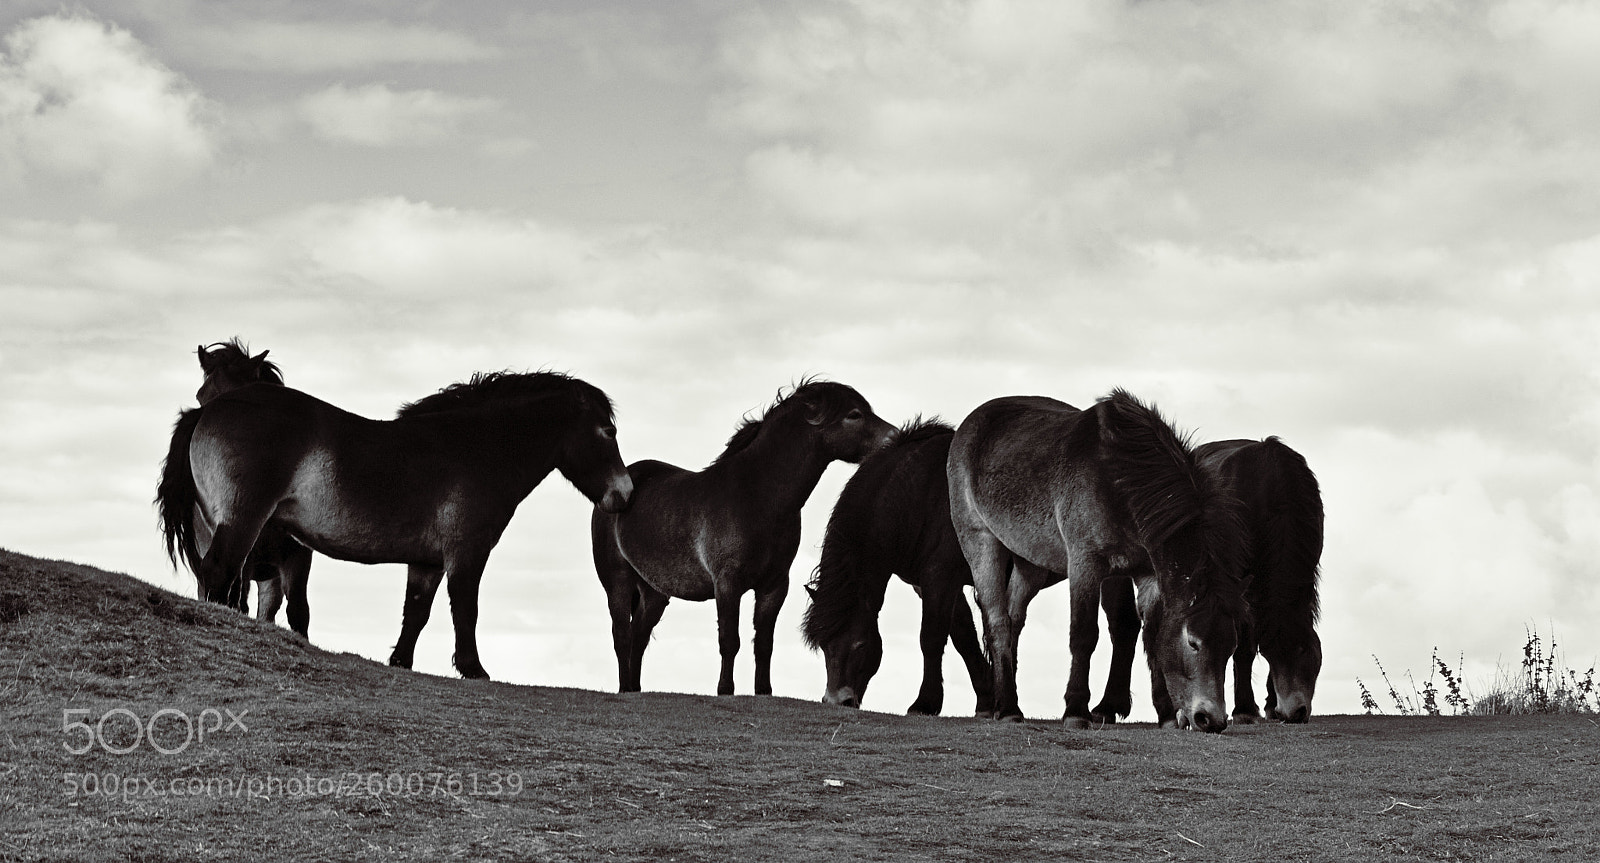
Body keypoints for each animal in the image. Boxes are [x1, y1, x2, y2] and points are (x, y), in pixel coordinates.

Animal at [157, 370, 633, 680]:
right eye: (607, 432)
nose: (625, 493)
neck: (474, 449)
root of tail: (209, 410)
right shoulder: (466, 554)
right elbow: (466, 610)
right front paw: (474, 669)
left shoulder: (427, 562)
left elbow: (416, 613)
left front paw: (402, 662)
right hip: (241, 523)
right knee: (219, 575)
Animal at [592, 380, 897, 697]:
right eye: (854, 415)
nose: (895, 437)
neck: (758, 497)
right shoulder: (728, 584)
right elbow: (730, 641)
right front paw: (725, 689)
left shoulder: (775, 586)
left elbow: (764, 643)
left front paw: (763, 690)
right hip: (618, 582)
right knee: (622, 636)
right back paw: (624, 687)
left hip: (654, 592)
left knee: (638, 637)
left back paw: (633, 689)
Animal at [800, 418, 993, 715]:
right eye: (824, 646)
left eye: (860, 645)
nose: (837, 701)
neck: (921, 494)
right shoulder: (932, 584)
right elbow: (964, 636)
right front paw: (986, 700)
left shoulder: (940, 577)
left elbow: (932, 638)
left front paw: (925, 703)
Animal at [947, 389, 1249, 732]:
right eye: (1193, 642)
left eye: (1231, 647)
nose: (1211, 719)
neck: (1118, 478)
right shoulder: (1085, 566)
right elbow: (1084, 635)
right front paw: (1076, 710)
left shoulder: (1148, 575)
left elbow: (1152, 636)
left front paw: (1166, 714)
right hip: (981, 543)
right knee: (997, 622)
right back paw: (1009, 708)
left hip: (1031, 563)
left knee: (1013, 619)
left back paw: (1004, 702)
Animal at [1194, 437, 1323, 724]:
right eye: (1269, 653)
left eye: (1305, 649)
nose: (1294, 712)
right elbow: (1244, 647)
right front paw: (1244, 709)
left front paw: (1271, 705)